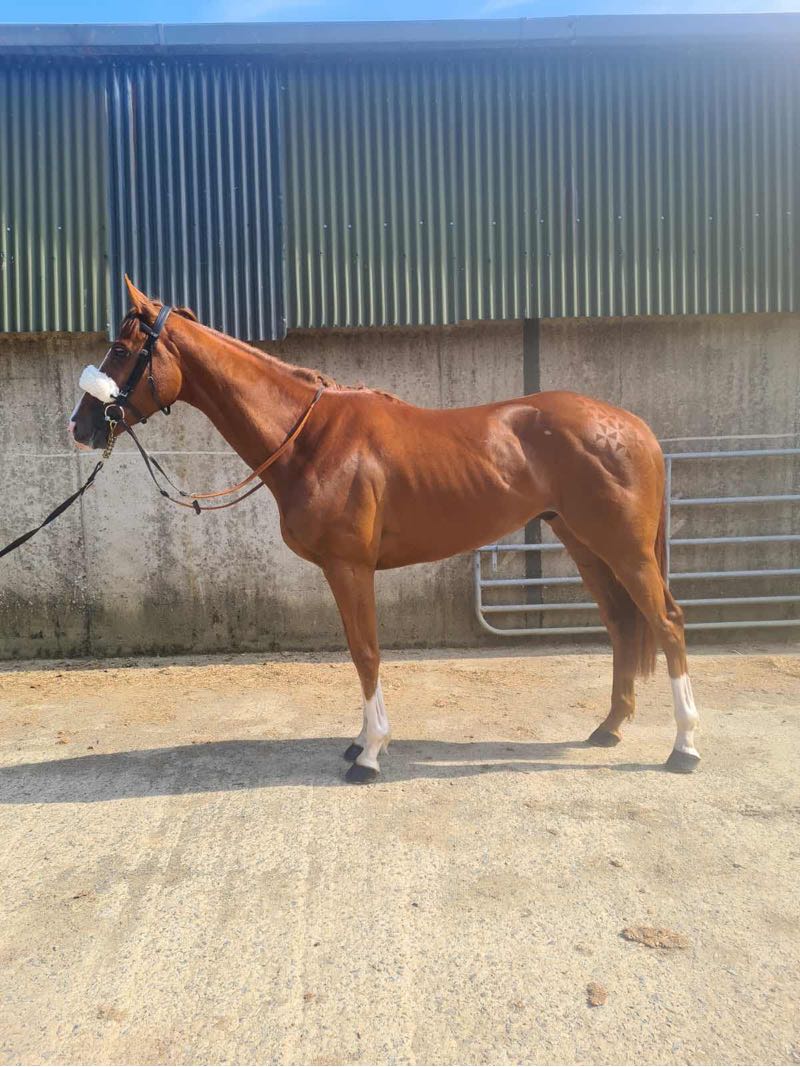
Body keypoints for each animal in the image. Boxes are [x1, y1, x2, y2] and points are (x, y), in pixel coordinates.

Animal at [69, 277, 700, 783]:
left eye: (121, 349)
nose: (79, 426)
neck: (309, 438)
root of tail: (634, 427)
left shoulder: (351, 567)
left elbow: (366, 651)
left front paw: (371, 754)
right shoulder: (342, 570)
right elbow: (357, 649)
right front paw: (358, 743)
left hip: (625, 550)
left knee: (667, 623)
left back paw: (684, 747)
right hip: (583, 543)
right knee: (621, 625)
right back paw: (609, 727)